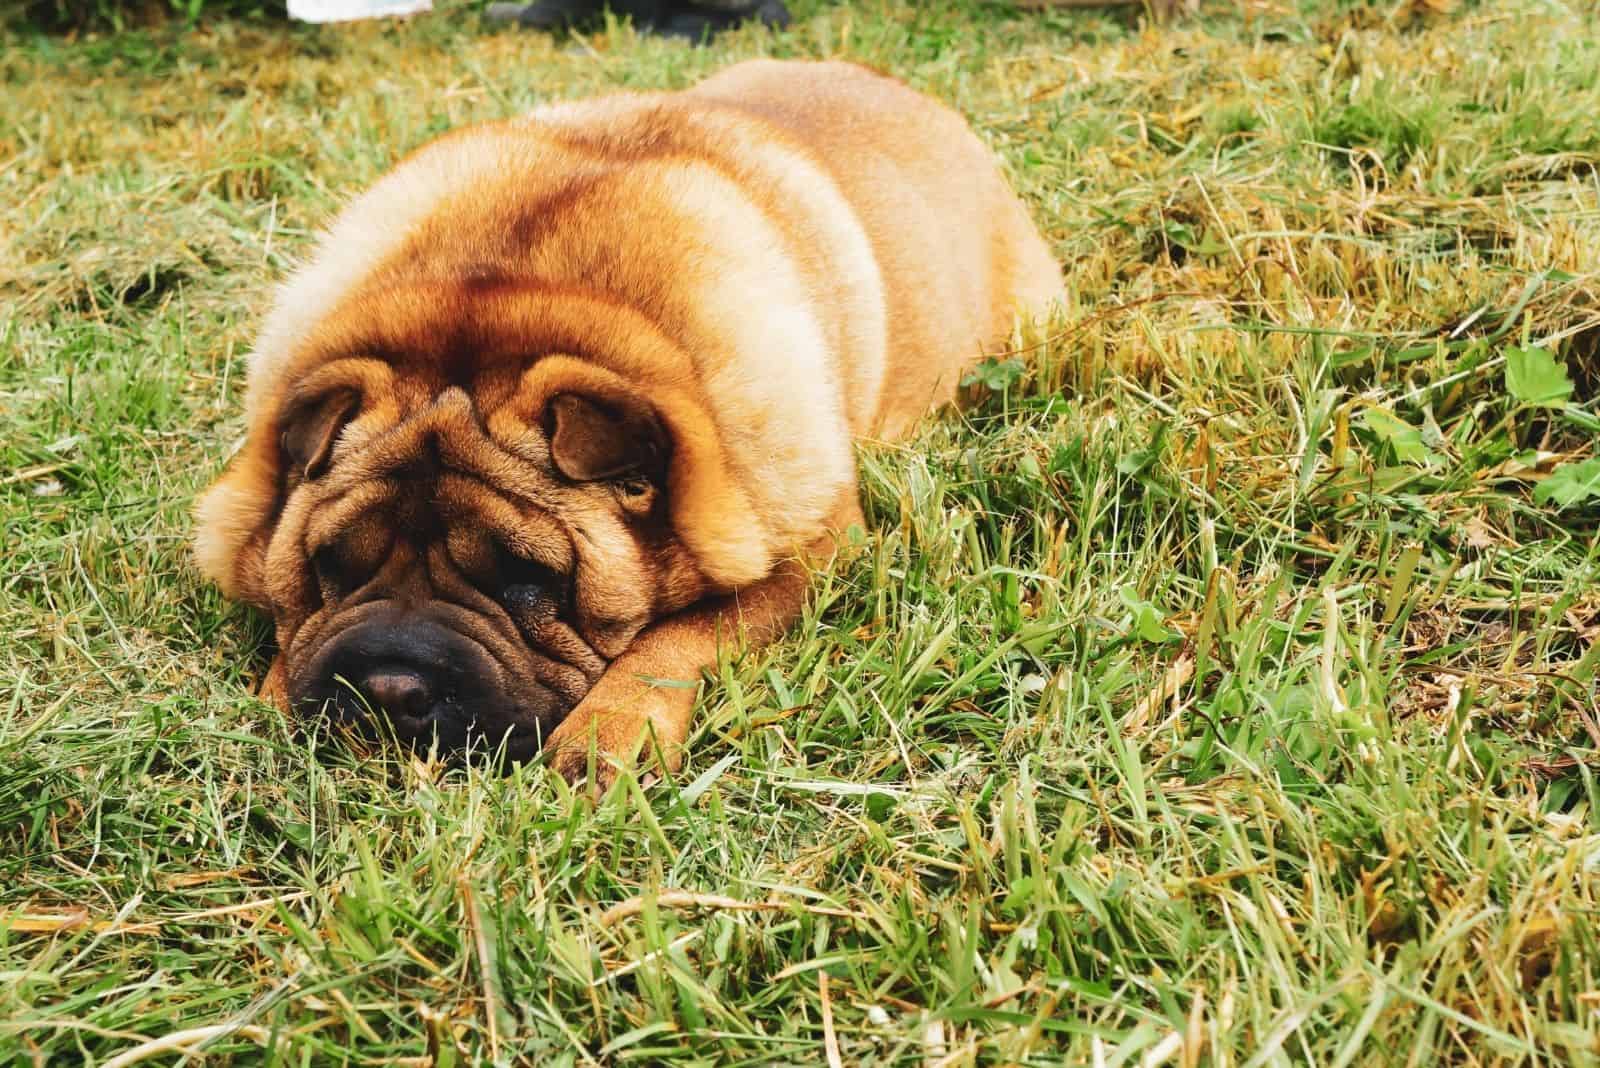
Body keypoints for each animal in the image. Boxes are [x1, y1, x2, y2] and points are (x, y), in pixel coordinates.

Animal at [193, 60, 1056, 783]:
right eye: (332, 563)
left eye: (528, 580)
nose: (389, 686)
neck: (518, 296)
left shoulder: (812, 552)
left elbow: (679, 635)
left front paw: (608, 734)